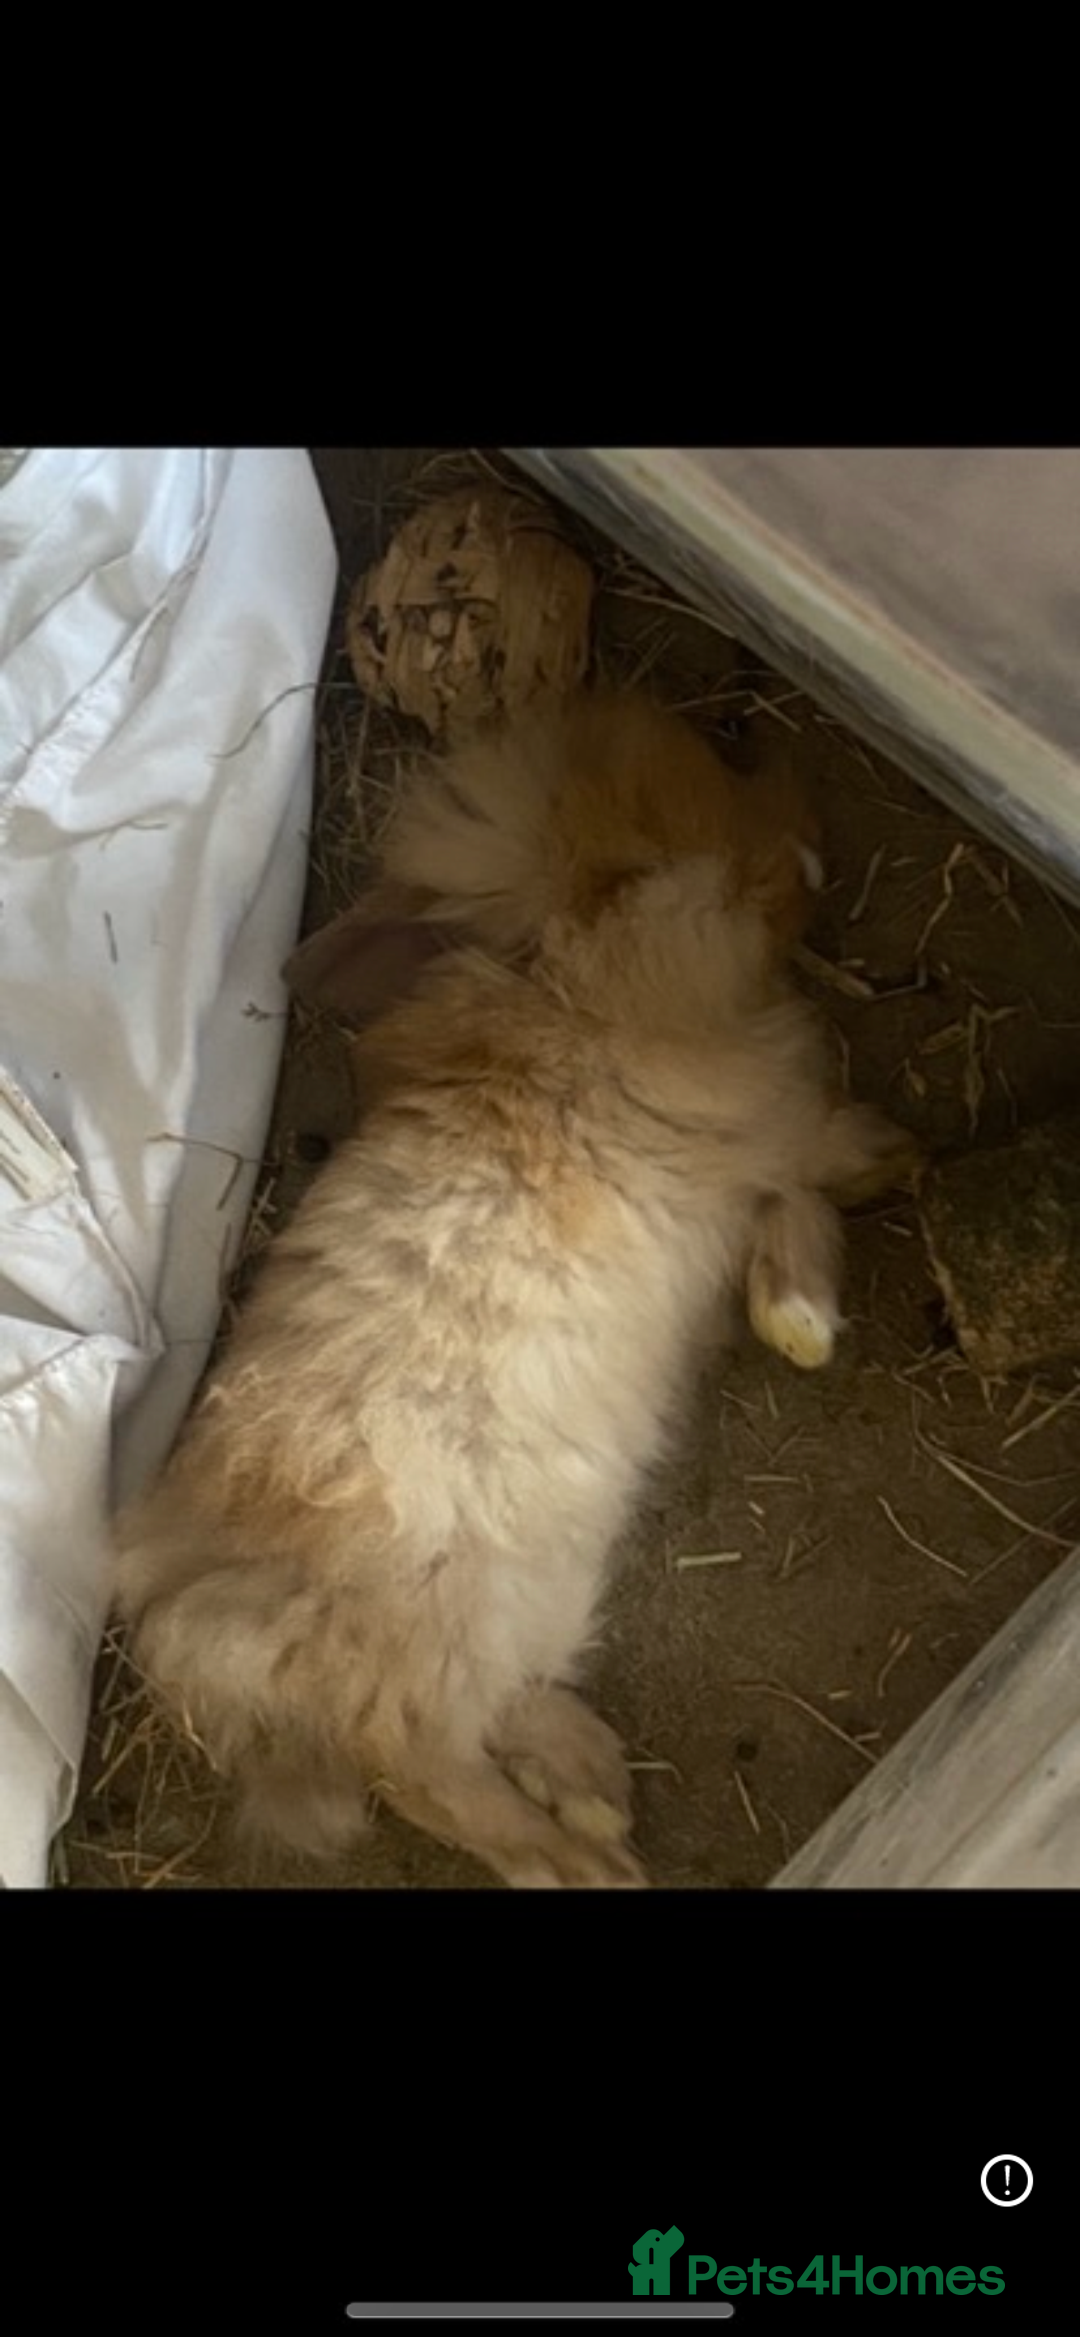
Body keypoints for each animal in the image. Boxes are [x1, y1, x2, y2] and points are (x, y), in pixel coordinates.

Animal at [112, 686, 917, 1889]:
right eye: (644, 854)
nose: (805, 854)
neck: (580, 991)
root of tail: (213, 1608)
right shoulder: (762, 1147)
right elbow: (809, 1195)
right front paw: (837, 1265)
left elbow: (793, 1211)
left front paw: (801, 1318)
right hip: (443, 1627)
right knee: (426, 1771)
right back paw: (585, 1862)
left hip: (515, 1601)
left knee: (493, 1716)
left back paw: (591, 1791)